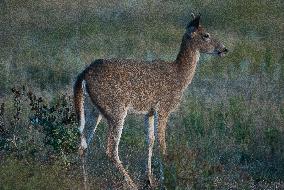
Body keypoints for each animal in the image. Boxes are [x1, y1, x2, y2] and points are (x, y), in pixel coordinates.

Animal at [74, 14, 229, 189]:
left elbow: (150, 141)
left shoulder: (149, 112)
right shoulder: (163, 108)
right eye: (206, 35)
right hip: (116, 110)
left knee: (83, 145)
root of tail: (83, 74)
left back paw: (85, 183)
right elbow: (162, 144)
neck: (180, 76)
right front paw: (165, 179)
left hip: (93, 109)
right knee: (111, 150)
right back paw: (131, 184)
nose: (224, 49)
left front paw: (150, 179)